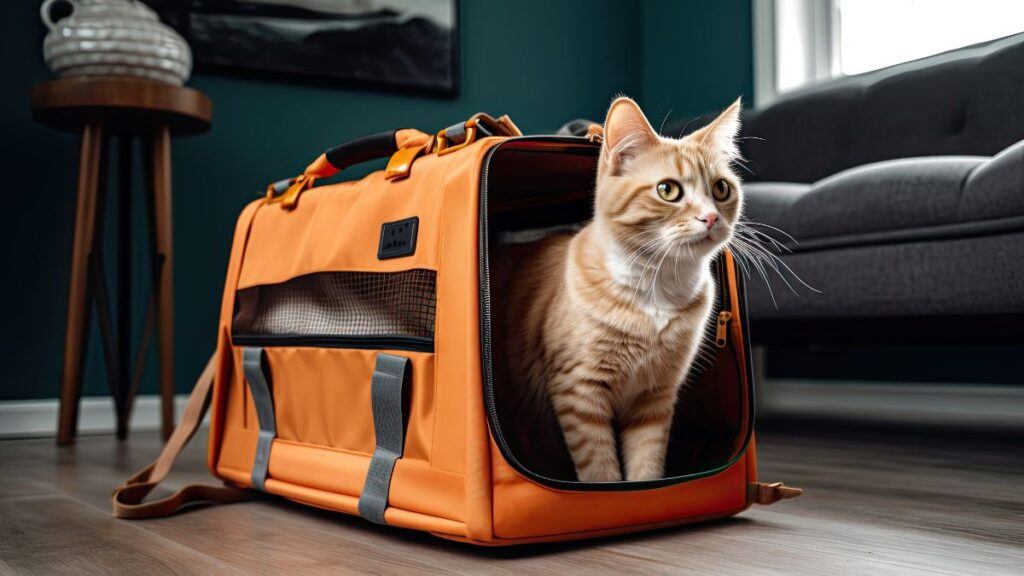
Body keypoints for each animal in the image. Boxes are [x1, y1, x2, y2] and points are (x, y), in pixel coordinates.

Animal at [489, 95, 741, 479]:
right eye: (668, 190)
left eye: (721, 188)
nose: (711, 217)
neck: (657, 287)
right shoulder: (579, 392)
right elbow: (600, 469)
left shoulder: (654, 399)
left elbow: (646, 464)